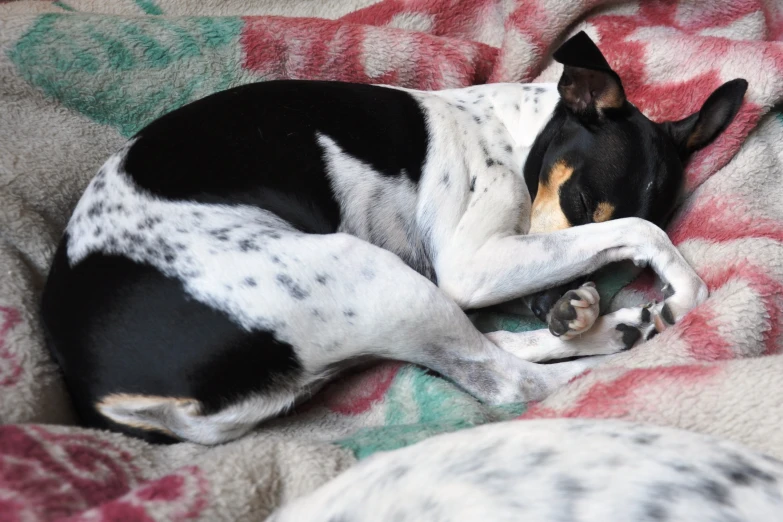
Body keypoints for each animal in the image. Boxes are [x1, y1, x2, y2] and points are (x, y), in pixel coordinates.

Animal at [41, 31, 748, 442]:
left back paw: (618, 329)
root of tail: (106, 398)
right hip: (383, 279)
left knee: (487, 354)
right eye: (577, 201)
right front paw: (683, 288)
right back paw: (619, 352)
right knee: (513, 383)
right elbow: (641, 230)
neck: (512, 133)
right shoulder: (472, 263)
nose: (559, 308)